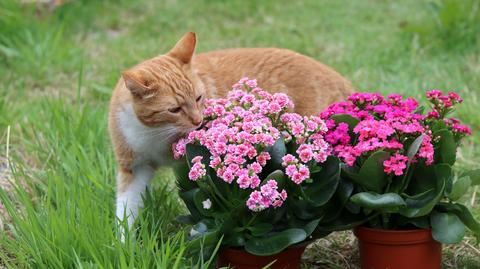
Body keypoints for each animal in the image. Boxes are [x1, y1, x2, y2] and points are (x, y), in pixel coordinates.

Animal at [109, 31, 356, 232]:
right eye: (174, 109)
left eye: (199, 97)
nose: (198, 121)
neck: (153, 132)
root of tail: (341, 80)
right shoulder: (135, 168)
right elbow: (125, 214)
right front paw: (125, 249)